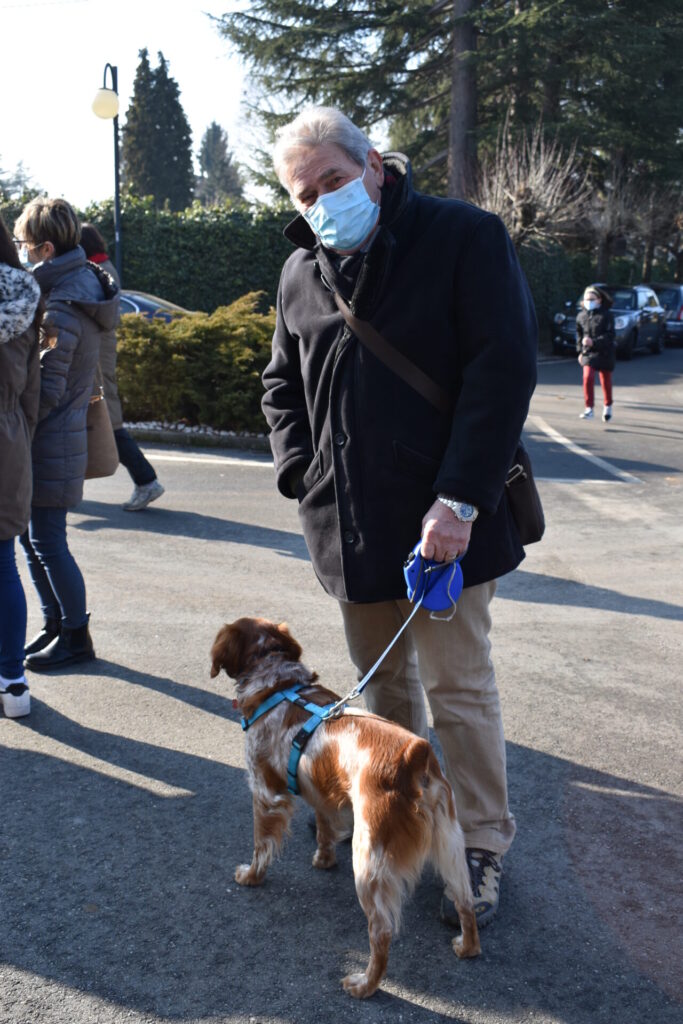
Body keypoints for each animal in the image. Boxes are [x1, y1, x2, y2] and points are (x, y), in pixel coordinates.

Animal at [209, 614, 481, 999]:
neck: (277, 681)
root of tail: (416, 756)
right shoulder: (322, 795)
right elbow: (324, 828)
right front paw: (323, 860)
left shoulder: (265, 791)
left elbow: (261, 845)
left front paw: (251, 876)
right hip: (451, 846)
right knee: (464, 901)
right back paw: (467, 946)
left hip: (369, 860)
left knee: (381, 932)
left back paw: (365, 984)